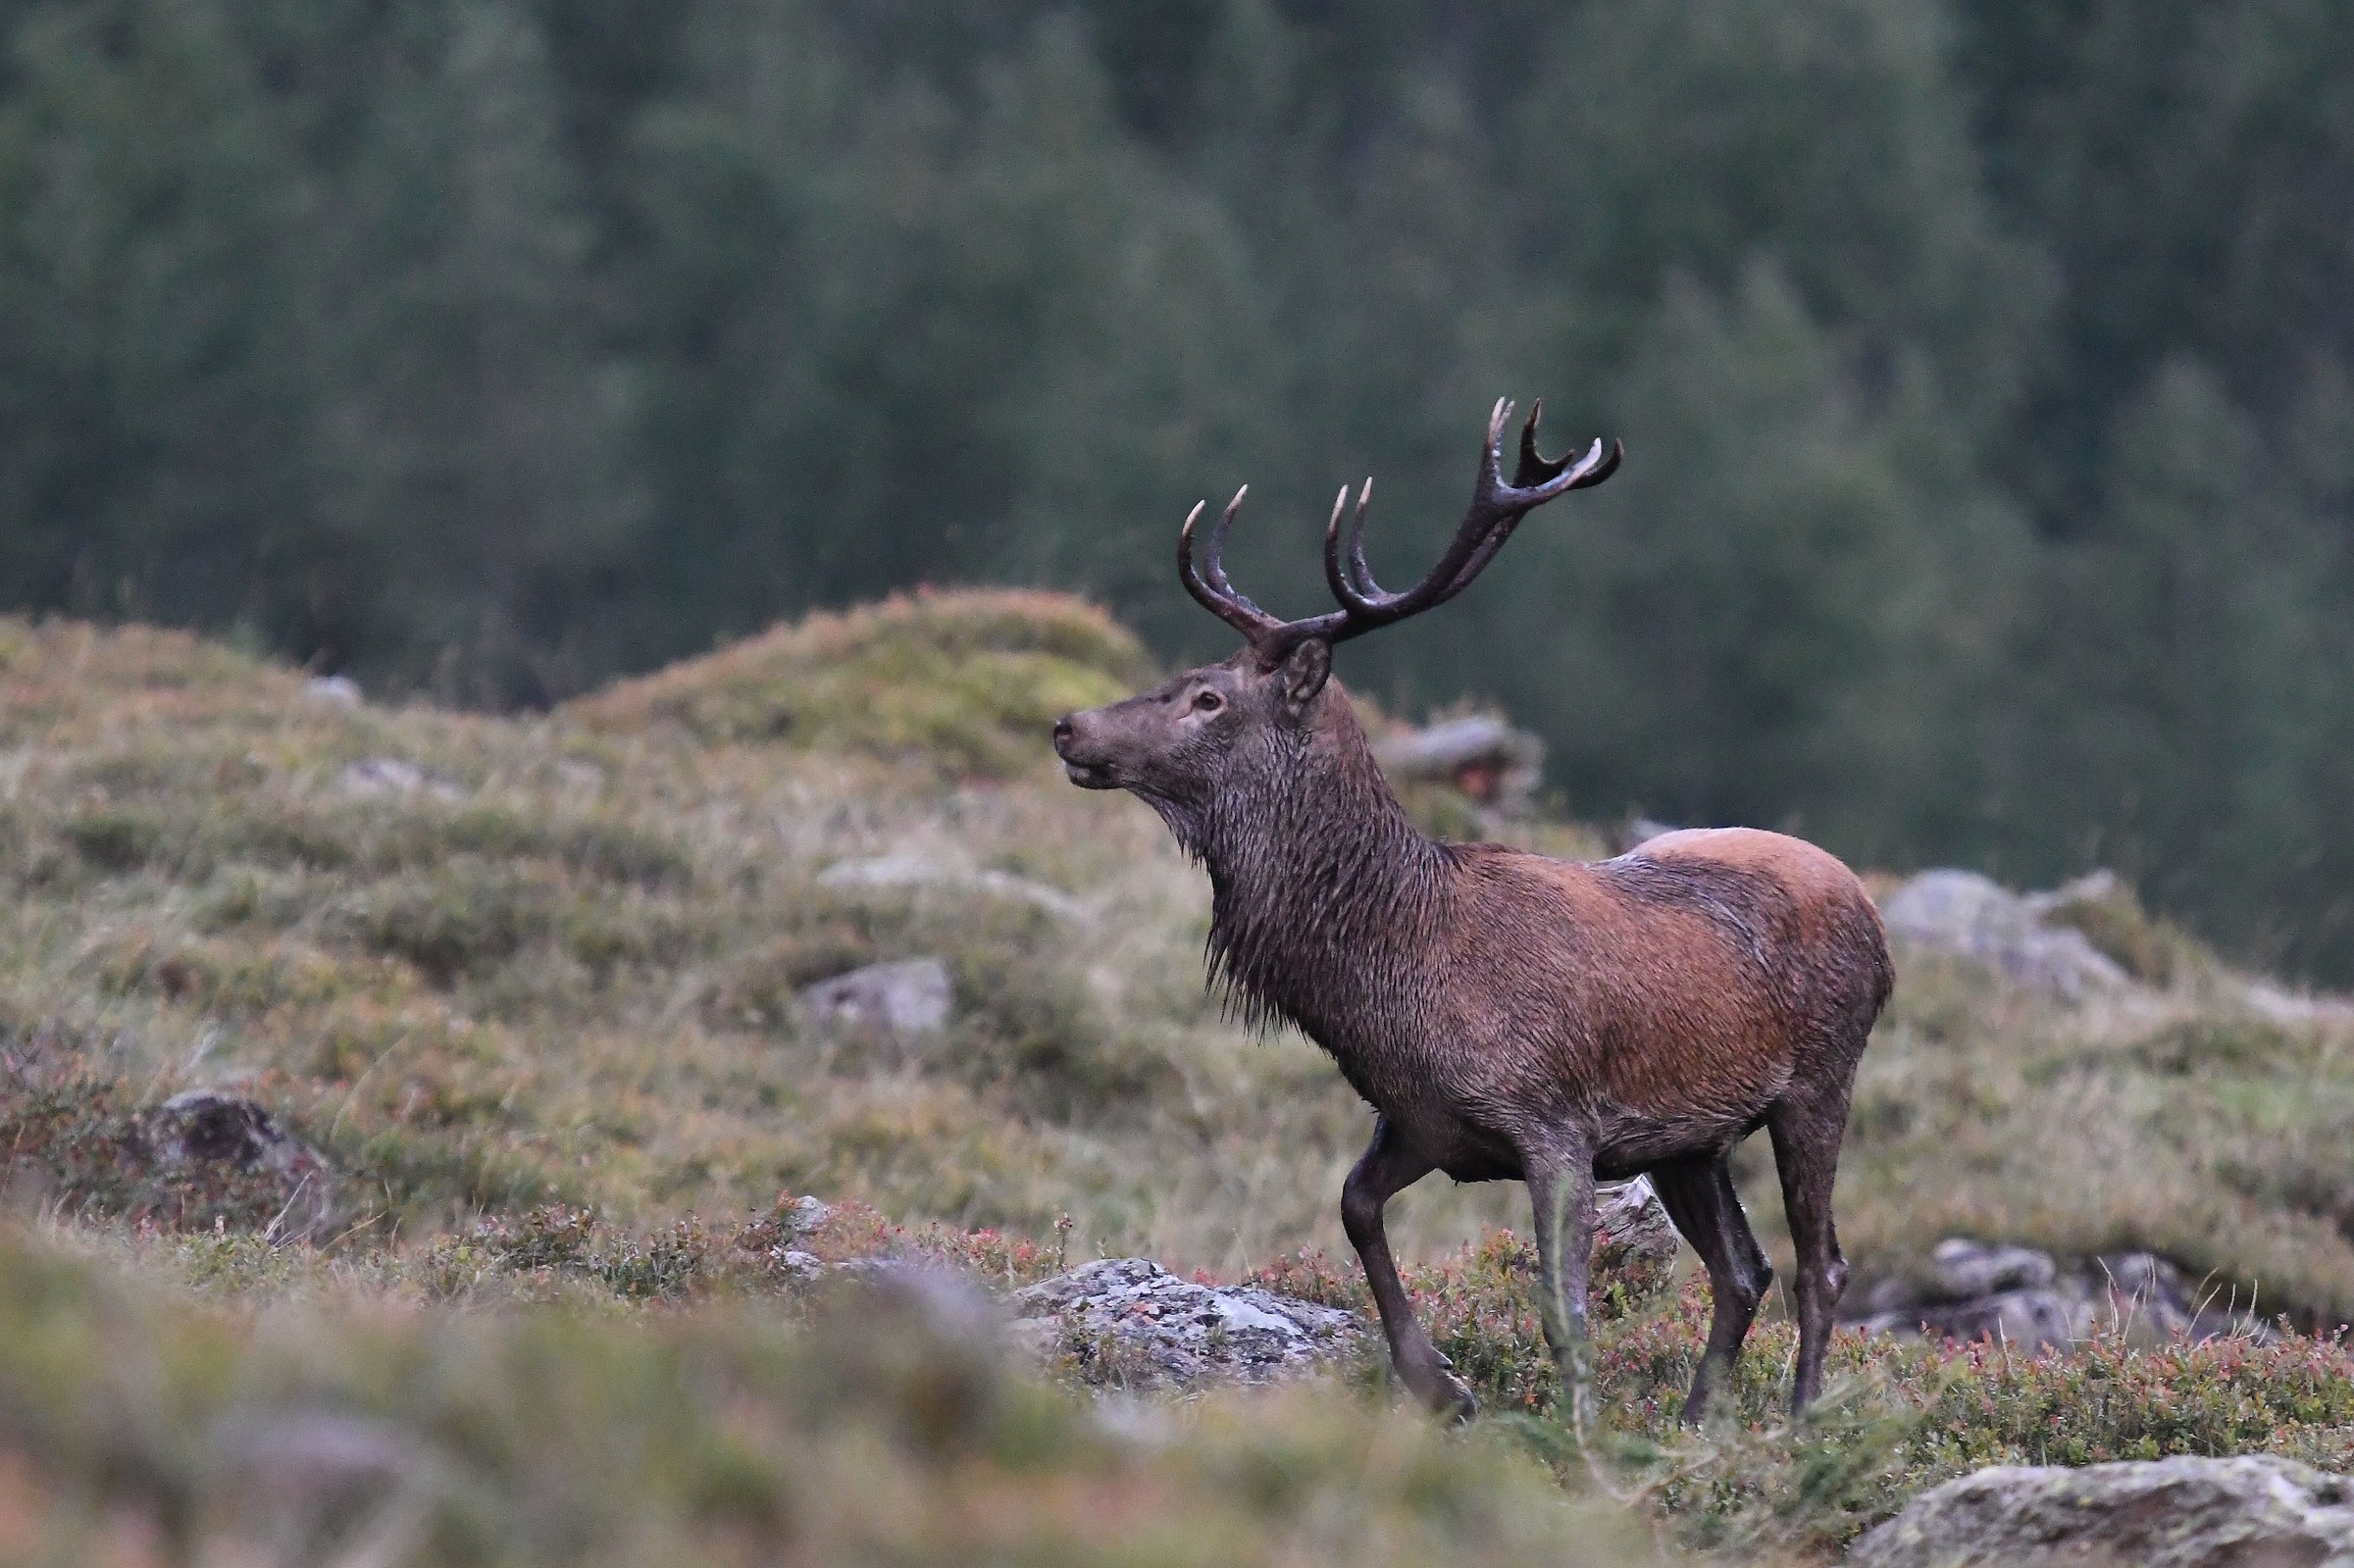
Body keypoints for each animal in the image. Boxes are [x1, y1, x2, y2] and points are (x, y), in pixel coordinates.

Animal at [1052, 400, 1893, 1431]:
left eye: (1209, 697)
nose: (1069, 726)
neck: (1395, 974)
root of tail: (1872, 913)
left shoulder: (1556, 1121)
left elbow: (1563, 1306)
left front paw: (1579, 1436)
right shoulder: (1423, 1121)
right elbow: (1353, 1206)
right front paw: (1438, 1384)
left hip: (1820, 1079)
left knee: (1822, 1263)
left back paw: (1800, 1421)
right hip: (1690, 1141)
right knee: (1745, 1268)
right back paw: (1700, 1422)